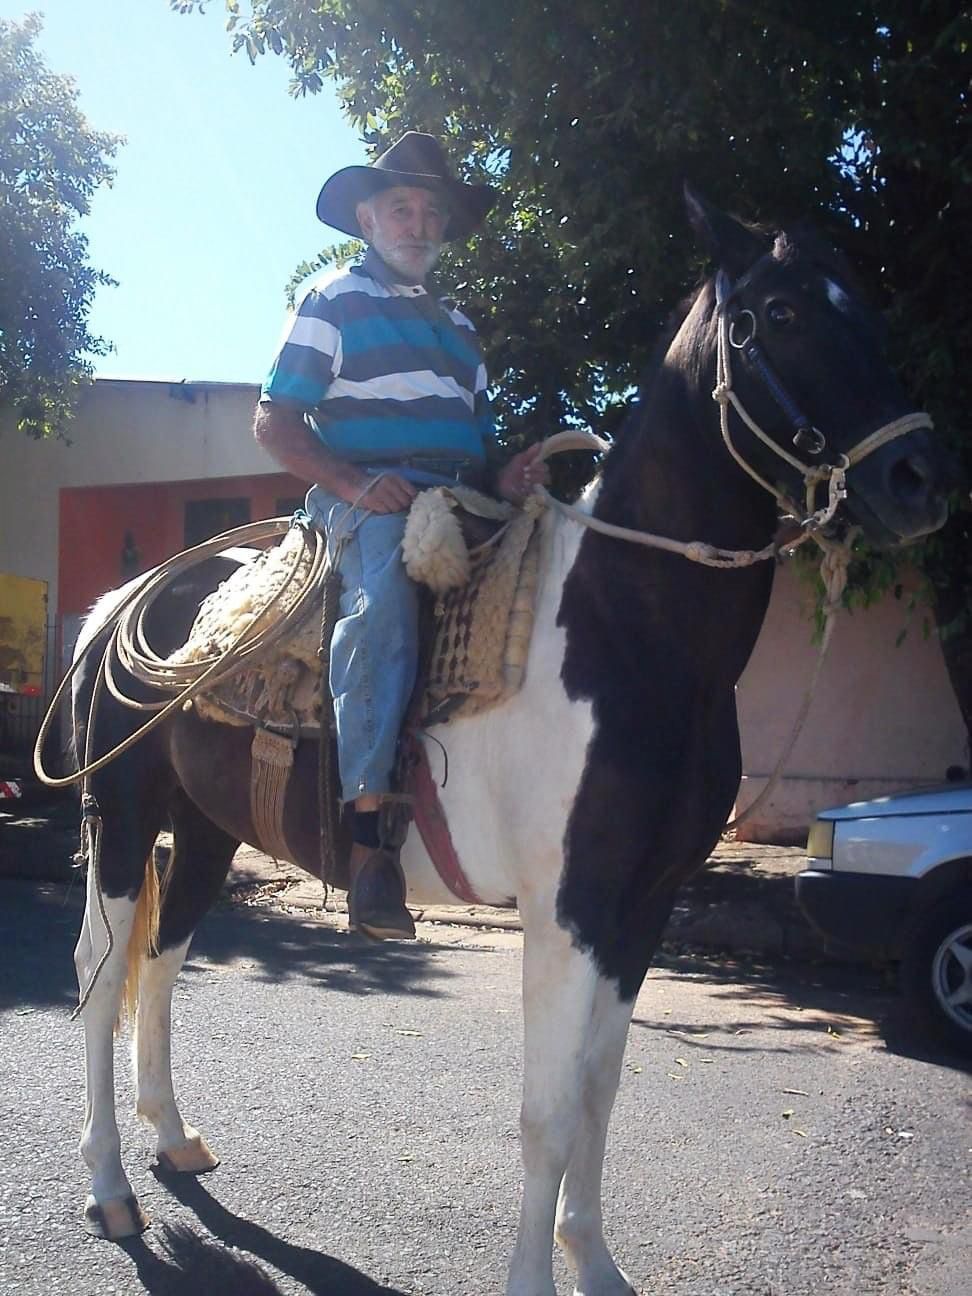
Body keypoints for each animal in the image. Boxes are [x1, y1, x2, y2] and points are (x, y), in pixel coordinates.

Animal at [64, 194, 948, 1296]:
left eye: (860, 303)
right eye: (780, 313)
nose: (920, 479)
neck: (628, 631)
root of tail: (124, 603)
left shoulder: (640, 908)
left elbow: (600, 1096)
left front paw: (598, 1264)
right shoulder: (565, 908)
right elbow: (548, 1115)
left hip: (208, 831)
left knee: (166, 961)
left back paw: (175, 1139)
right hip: (124, 819)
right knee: (102, 974)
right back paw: (110, 1186)